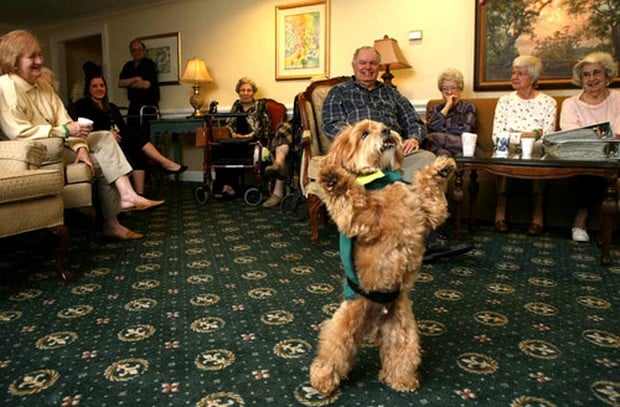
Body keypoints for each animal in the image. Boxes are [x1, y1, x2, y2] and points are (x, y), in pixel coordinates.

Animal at [310, 119, 456, 396]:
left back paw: (402, 380)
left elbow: (429, 192)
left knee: (399, 356)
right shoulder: (360, 219)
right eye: (364, 133)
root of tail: (375, 319)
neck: (384, 179)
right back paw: (323, 379)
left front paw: (442, 169)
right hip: (345, 323)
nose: (388, 131)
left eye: (383, 125)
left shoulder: (428, 210)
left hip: (404, 331)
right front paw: (333, 177)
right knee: (333, 350)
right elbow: (351, 196)